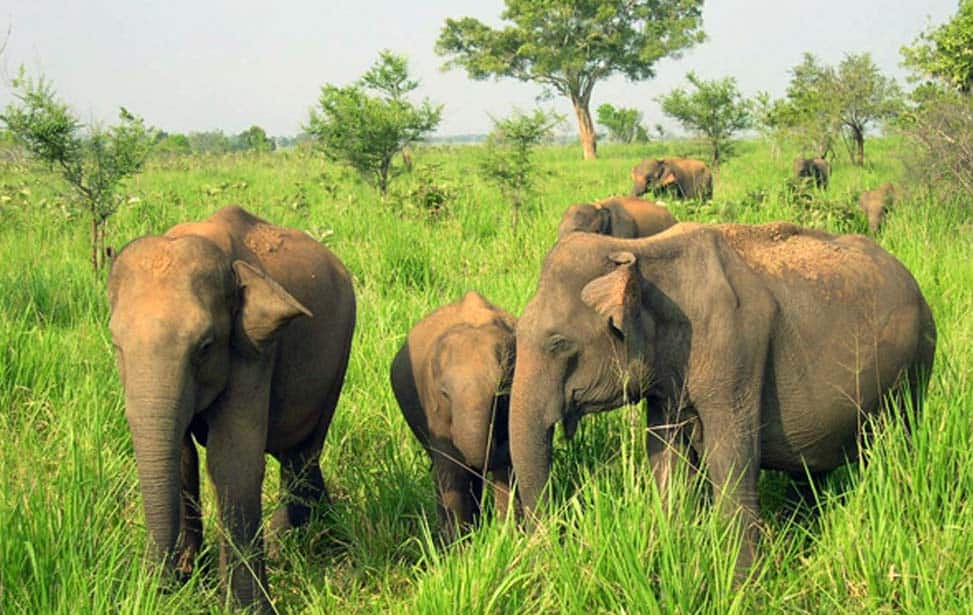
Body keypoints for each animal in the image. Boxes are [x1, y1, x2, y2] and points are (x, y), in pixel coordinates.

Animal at [107, 205, 356, 612]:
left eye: (205, 347)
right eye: (116, 345)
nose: (155, 588)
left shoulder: (252, 349)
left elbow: (232, 462)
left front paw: (243, 607)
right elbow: (182, 458)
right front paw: (187, 580)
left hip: (339, 354)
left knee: (303, 449)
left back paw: (288, 542)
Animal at [390, 291, 517, 543]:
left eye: (501, 393)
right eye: (445, 394)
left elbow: (507, 472)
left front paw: (509, 539)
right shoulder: (434, 407)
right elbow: (451, 467)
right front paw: (457, 547)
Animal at [508, 222, 936, 575]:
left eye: (557, 342)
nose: (553, 551)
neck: (640, 251)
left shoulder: (734, 351)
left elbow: (730, 458)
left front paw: (741, 583)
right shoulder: (669, 374)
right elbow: (667, 458)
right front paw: (674, 555)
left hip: (915, 365)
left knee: (898, 445)